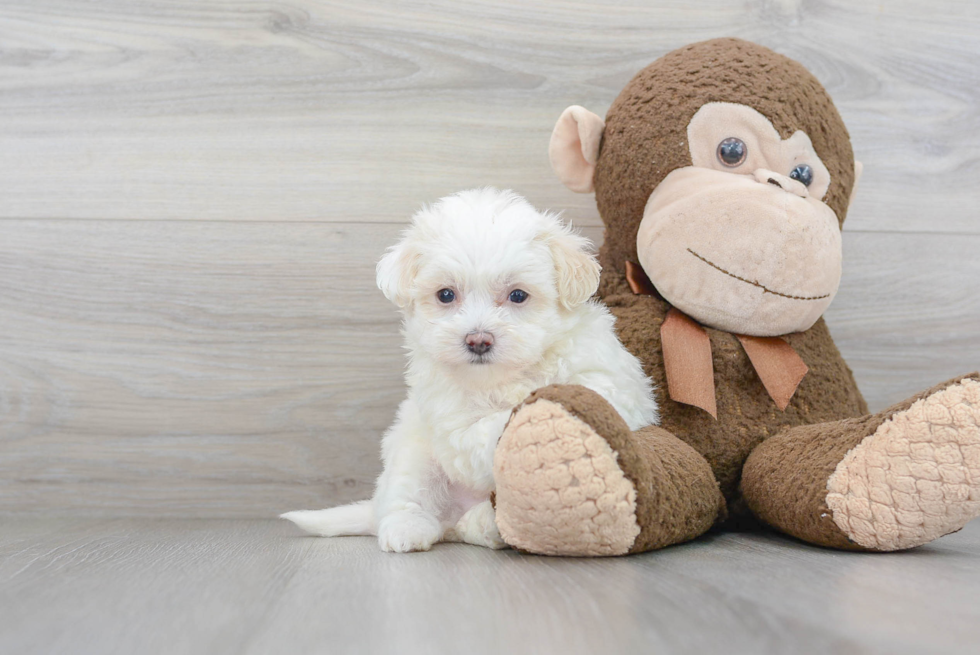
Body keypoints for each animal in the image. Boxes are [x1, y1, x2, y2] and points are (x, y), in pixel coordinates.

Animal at [280, 190, 656, 552]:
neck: (503, 378)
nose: (478, 340)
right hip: (412, 452)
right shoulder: (449, 418)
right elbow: (486, 429)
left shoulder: (611, 378)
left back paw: (490, 525)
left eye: (517, 295)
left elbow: (591, 392)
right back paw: (408, 530)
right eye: (446, 295)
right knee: (409, 500)